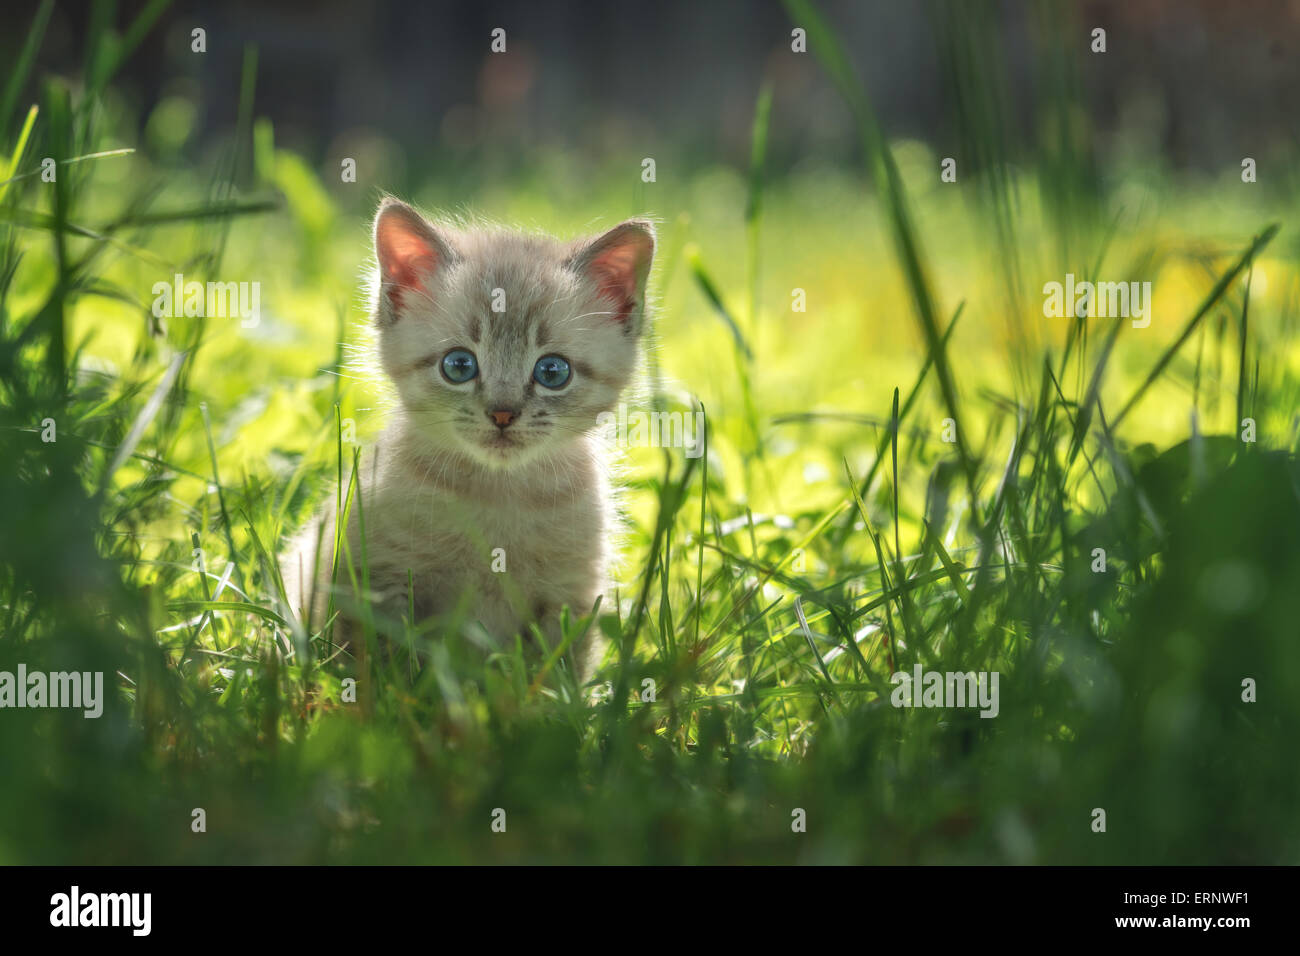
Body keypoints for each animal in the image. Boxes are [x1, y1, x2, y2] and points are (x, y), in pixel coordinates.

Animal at [280, 200, 655, 681]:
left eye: (553, 371)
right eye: (458, 365)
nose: (502, 413)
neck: (497, 496)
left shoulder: (571, 594)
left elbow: (555, 675)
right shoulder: (373, 575)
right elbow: (379, 666)